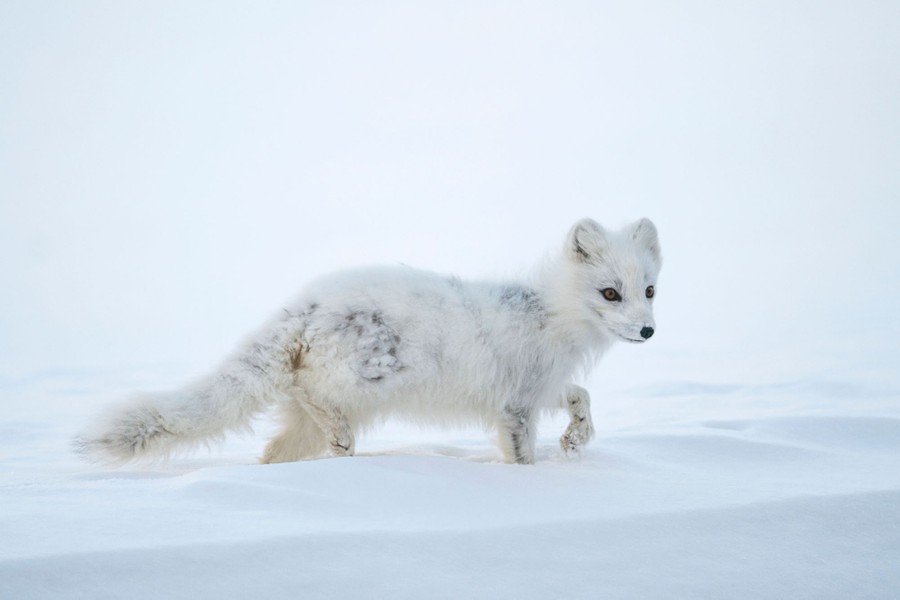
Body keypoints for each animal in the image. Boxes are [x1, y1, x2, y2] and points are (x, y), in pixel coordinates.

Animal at [75, 218, 661, 465]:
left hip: (306, 420)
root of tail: (304, 303)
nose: (647, 331)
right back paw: (342, 442)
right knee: (315, 397)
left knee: (274, 450)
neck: (550, 315)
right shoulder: (516, 406)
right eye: (610, 293)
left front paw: (576, 441)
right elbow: (522, 458)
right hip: (369, 379)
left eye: (649, 290)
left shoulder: (545, 386)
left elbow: (582, 397)